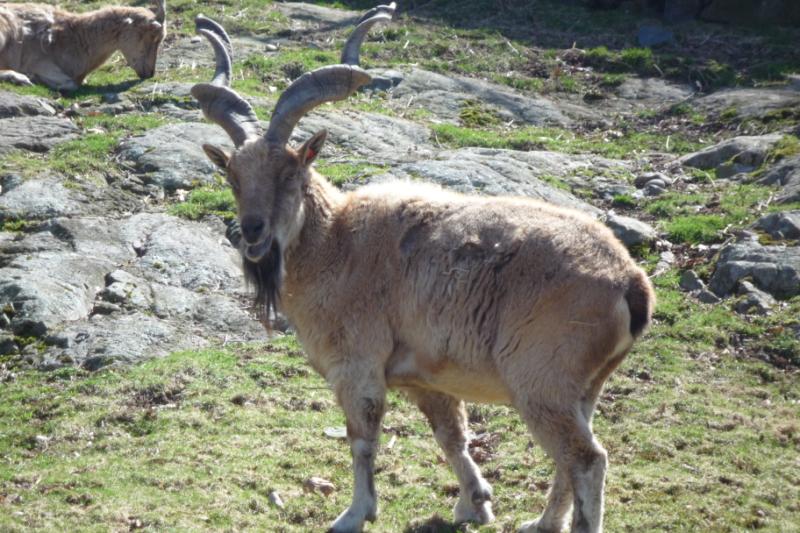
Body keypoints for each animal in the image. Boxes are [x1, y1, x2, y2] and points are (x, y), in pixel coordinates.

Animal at [0, 1, 166, 91]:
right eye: (152, 37)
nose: (150, 73)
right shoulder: (37, 61)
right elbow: (70, 84)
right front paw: (34, 78)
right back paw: (20, 78)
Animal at [190, 9, 653, 533]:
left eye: (290, 172)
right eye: (233, 176)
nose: (252, 230)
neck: (334, 243)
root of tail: (631, 282)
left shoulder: (358, 366)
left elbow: (362, 439)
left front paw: (355, 513)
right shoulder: (425, 380)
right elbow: (451, 436)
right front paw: (475, 503)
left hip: (542, 383)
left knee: (587, 459)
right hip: (579, 390)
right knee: (568, 458)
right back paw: (541, 522)